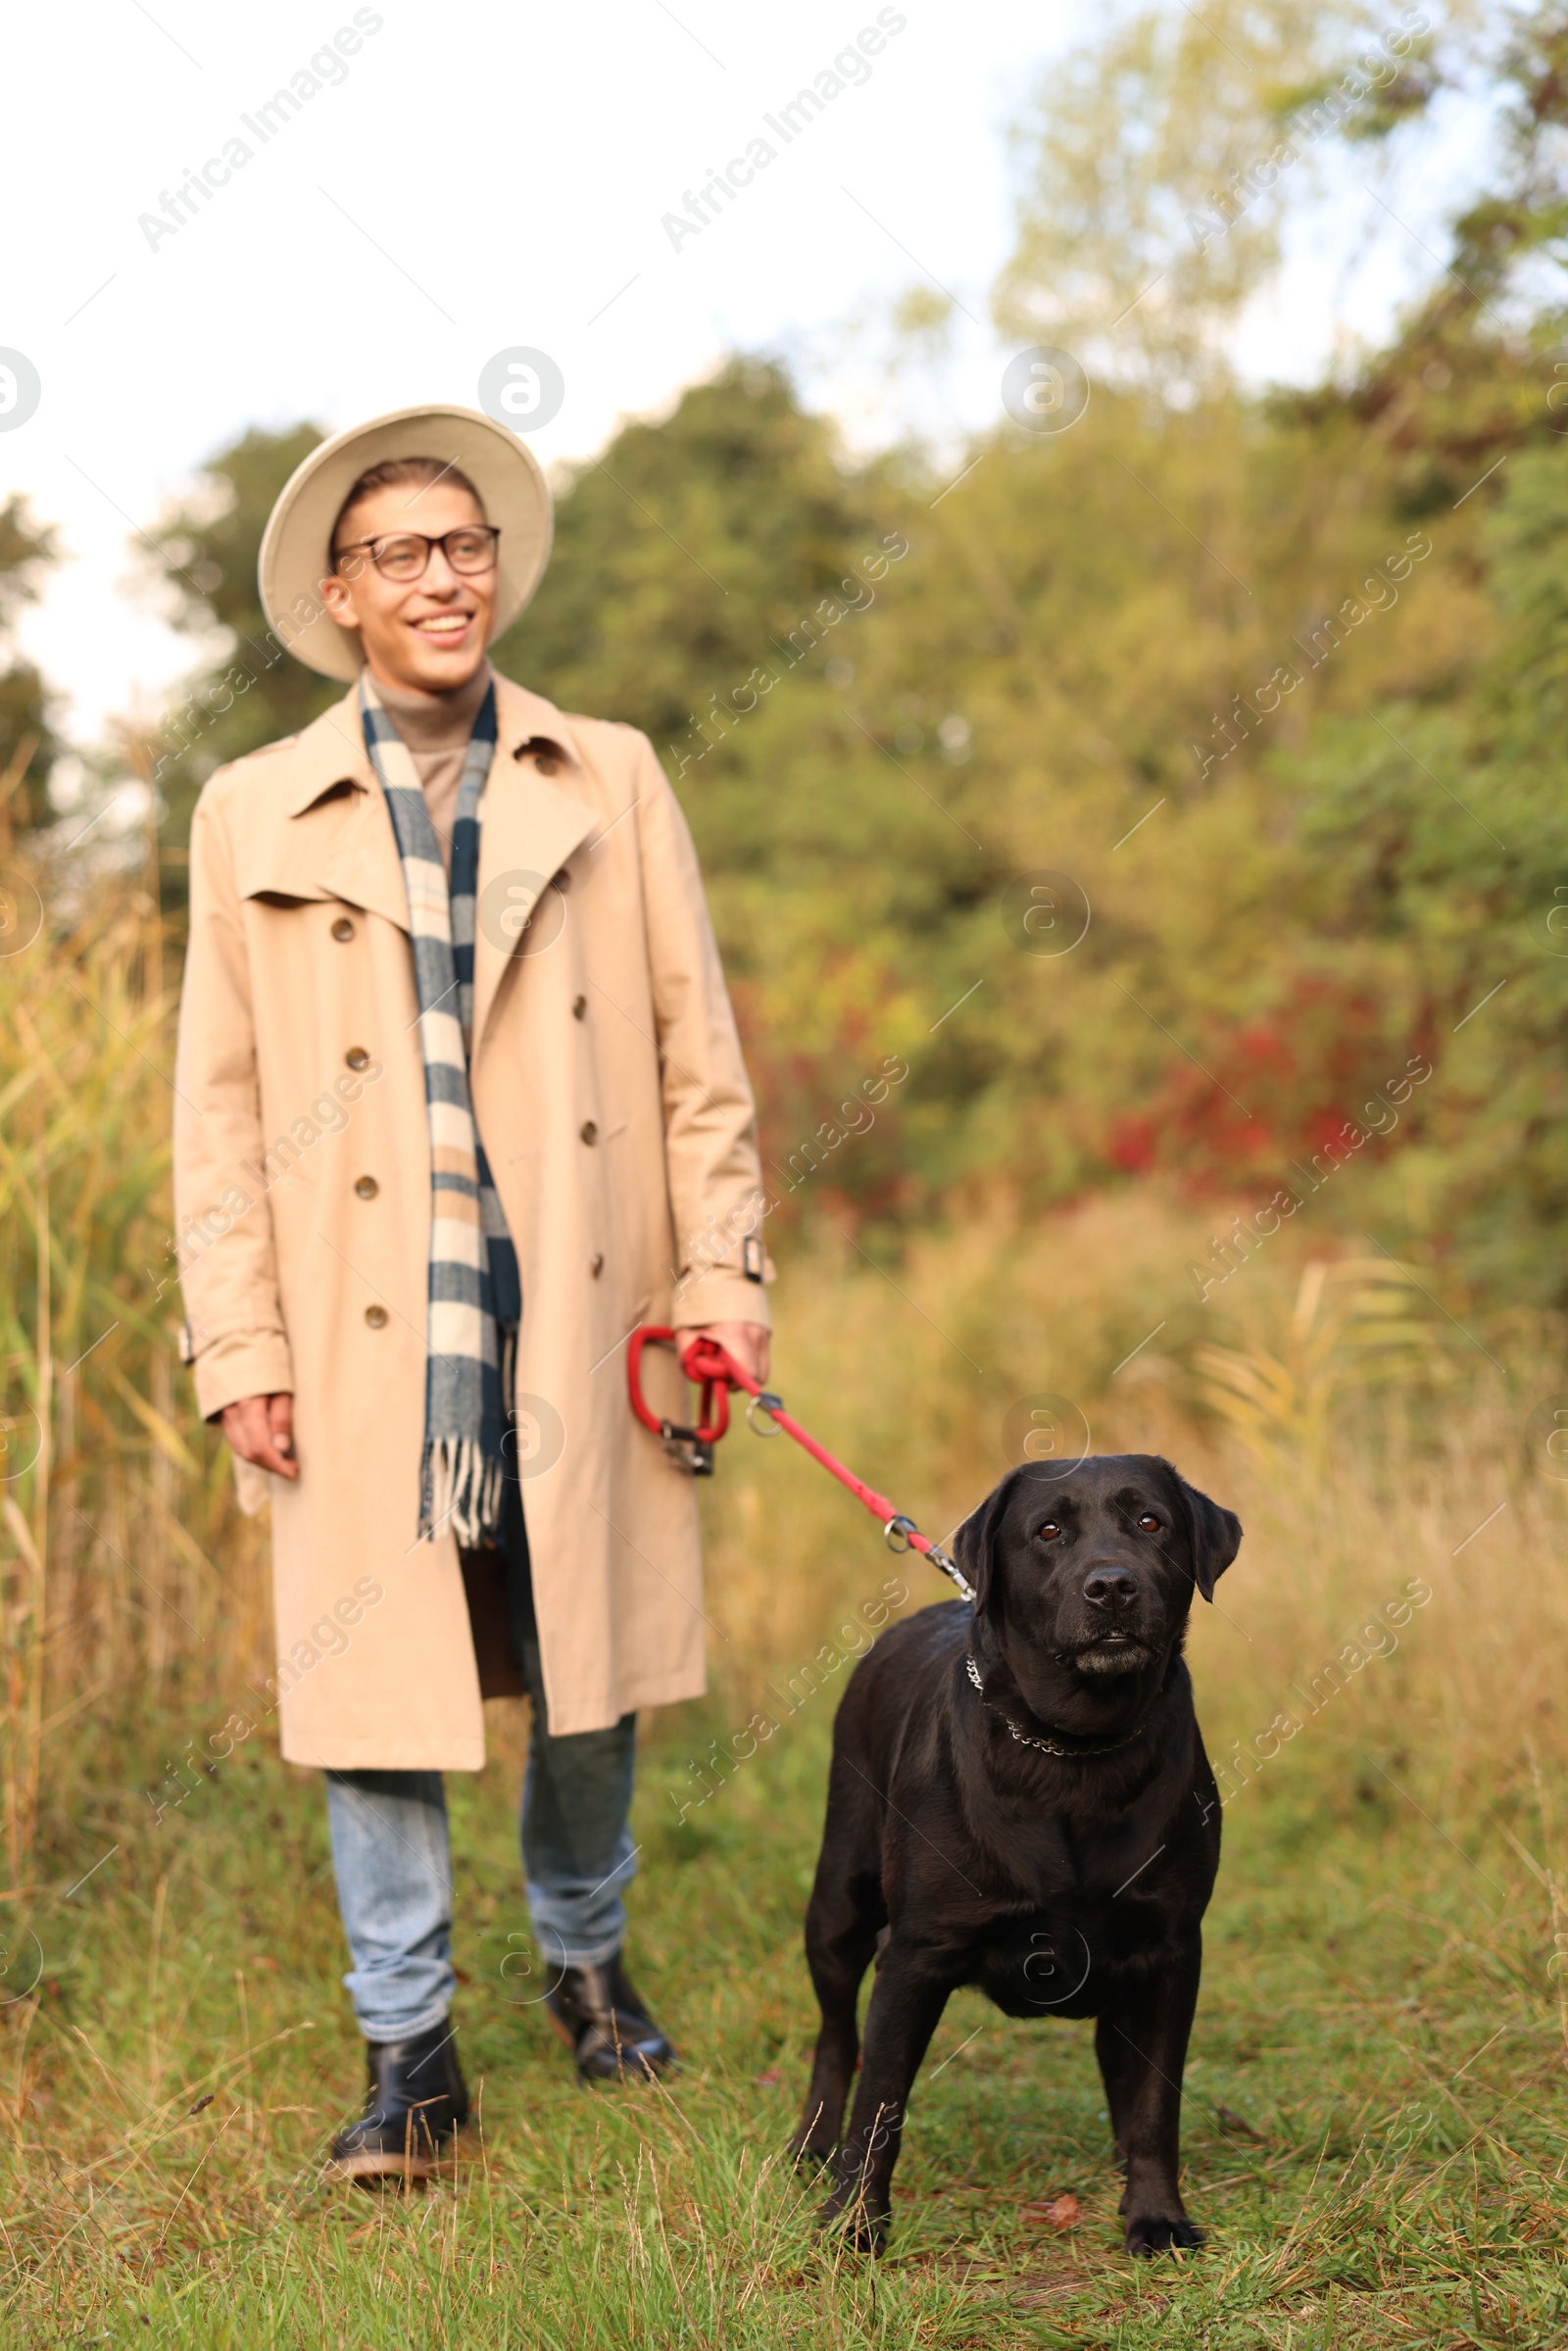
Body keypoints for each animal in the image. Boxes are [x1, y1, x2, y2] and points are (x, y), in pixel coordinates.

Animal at [789, 1447, 1241, 2257]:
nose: (1112, 1585)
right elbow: (880, 2104)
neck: (1077, 1750)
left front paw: (1155, 2215)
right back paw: (813, 2145)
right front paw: (854, 2222)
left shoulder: (1170, 1951)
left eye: (1151, 1521)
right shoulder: (915, 1954)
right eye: (1049, 1530)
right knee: (837, 2035)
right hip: (838, 1905)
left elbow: (1157, 2103)